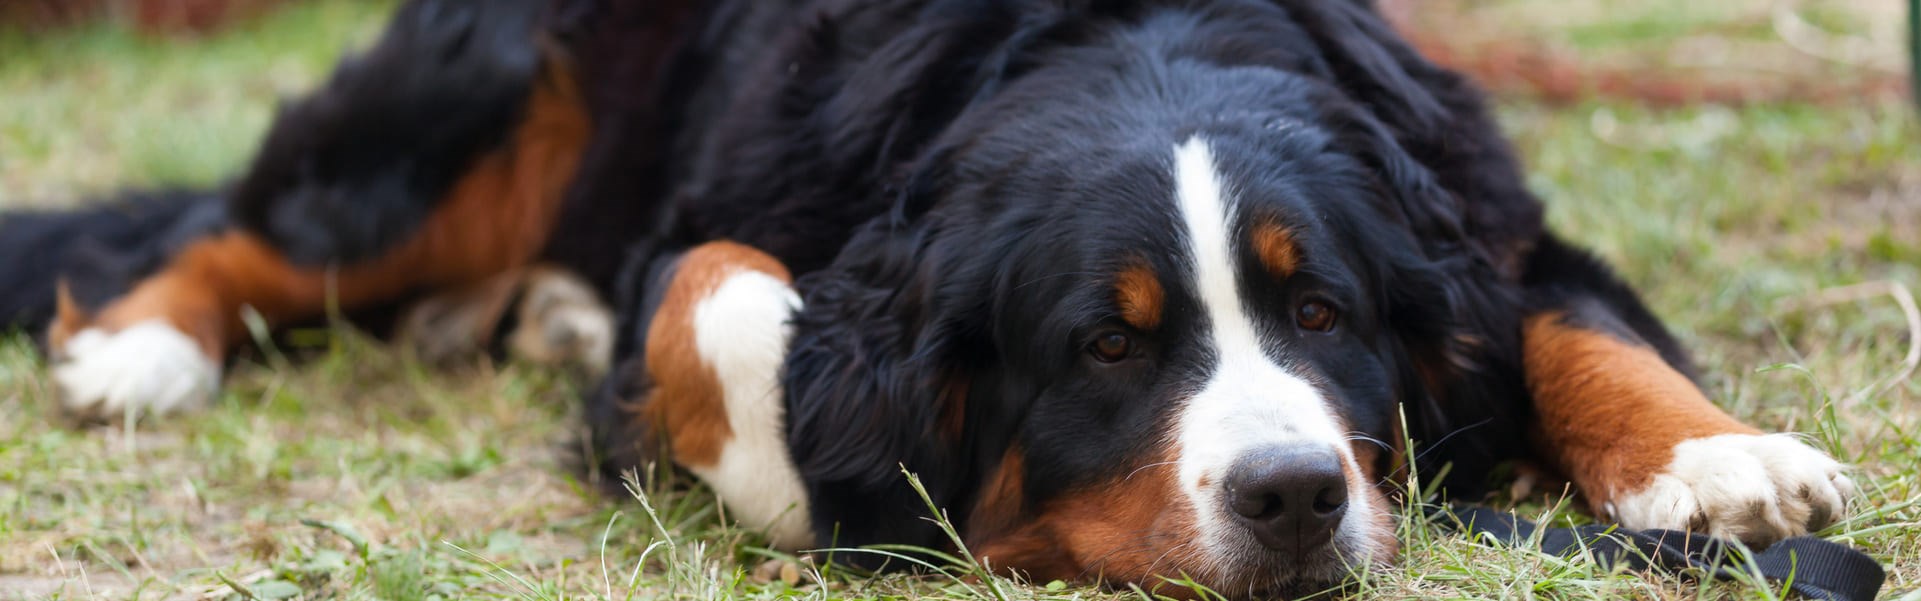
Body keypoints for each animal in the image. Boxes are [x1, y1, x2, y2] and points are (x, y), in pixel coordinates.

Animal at [3, 0, 1859, 591]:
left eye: (1320, 314)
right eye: (1107, 343)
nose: (1291, 495)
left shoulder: (1462, 201)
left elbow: (1567, 317)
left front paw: (1715, 462)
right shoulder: (735, 232)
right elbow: (725, 293)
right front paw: (787, 469)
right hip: (482, 90)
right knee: (261, 228)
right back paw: (146, 348)